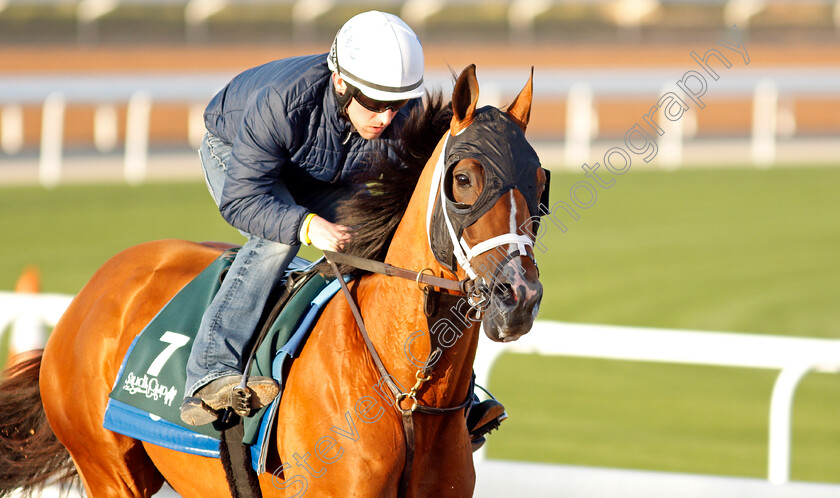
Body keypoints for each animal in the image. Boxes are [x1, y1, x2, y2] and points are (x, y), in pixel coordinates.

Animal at [0, 64, 544, 496]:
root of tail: (93, 289)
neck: (406, 396)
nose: (519, 297)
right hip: (109, 470)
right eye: (464, 179)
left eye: (540, 182)